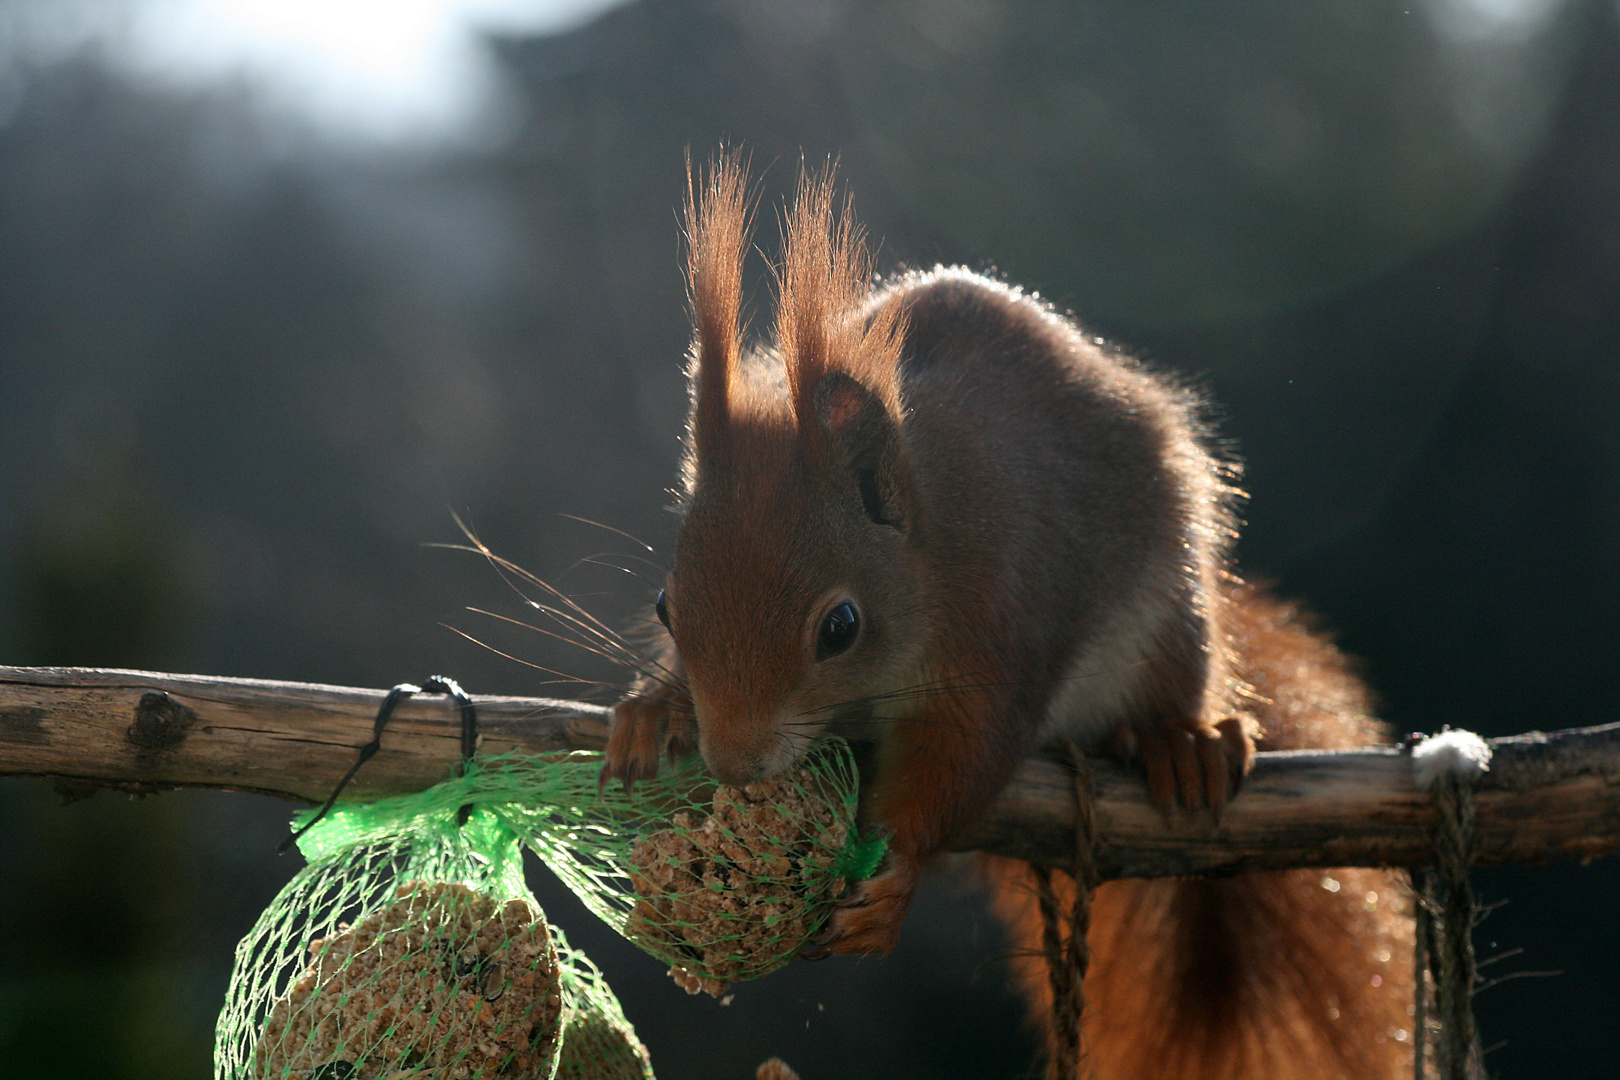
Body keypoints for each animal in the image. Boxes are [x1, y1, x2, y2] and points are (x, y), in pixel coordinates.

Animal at [602, 156, 1412, 1075]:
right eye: (666, 607)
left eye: (841, 628)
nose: (735, 764)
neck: (930, 538)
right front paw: (650, 709)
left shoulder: (999, 623)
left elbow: (968, 755)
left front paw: (895, 882)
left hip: (1169, 602)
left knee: (1179, 674)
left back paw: (1183, 741)